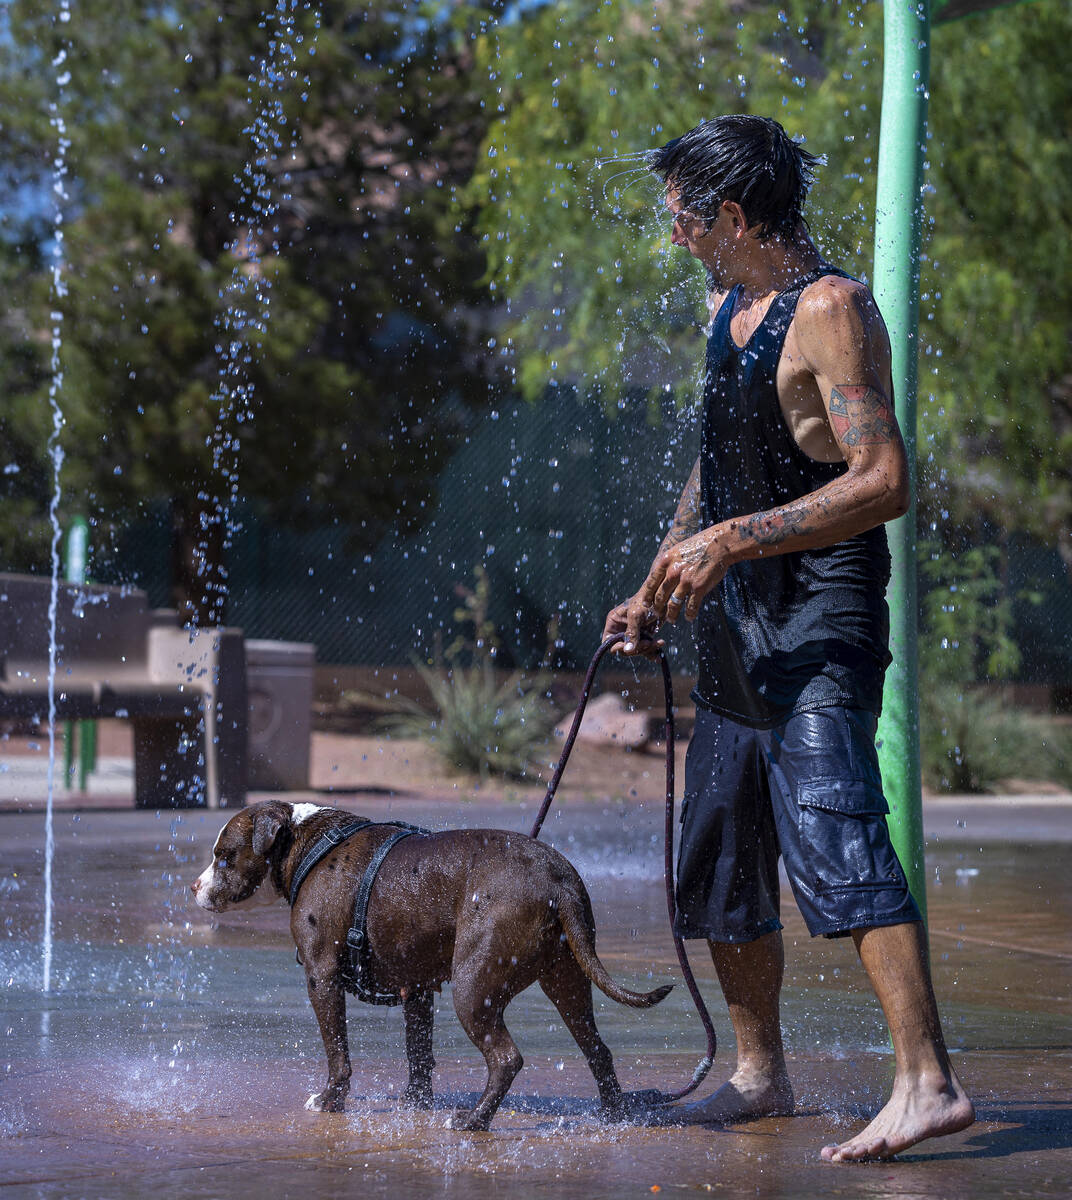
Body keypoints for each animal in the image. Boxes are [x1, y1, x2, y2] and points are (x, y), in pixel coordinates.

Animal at [188, 801, 667, 1128]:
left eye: (224, 856)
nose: (193, 886)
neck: (305, 843)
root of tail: (558, 879)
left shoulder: (321, 978)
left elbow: (337, 1051)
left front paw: (329, 1101)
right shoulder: (415, 986)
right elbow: (418, 1050)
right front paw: (414, 1103)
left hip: (475, 987)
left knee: (506, 1059)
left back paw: (474, 1121)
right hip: (567, 977)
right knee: (597, 1048)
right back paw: (614, 1115)